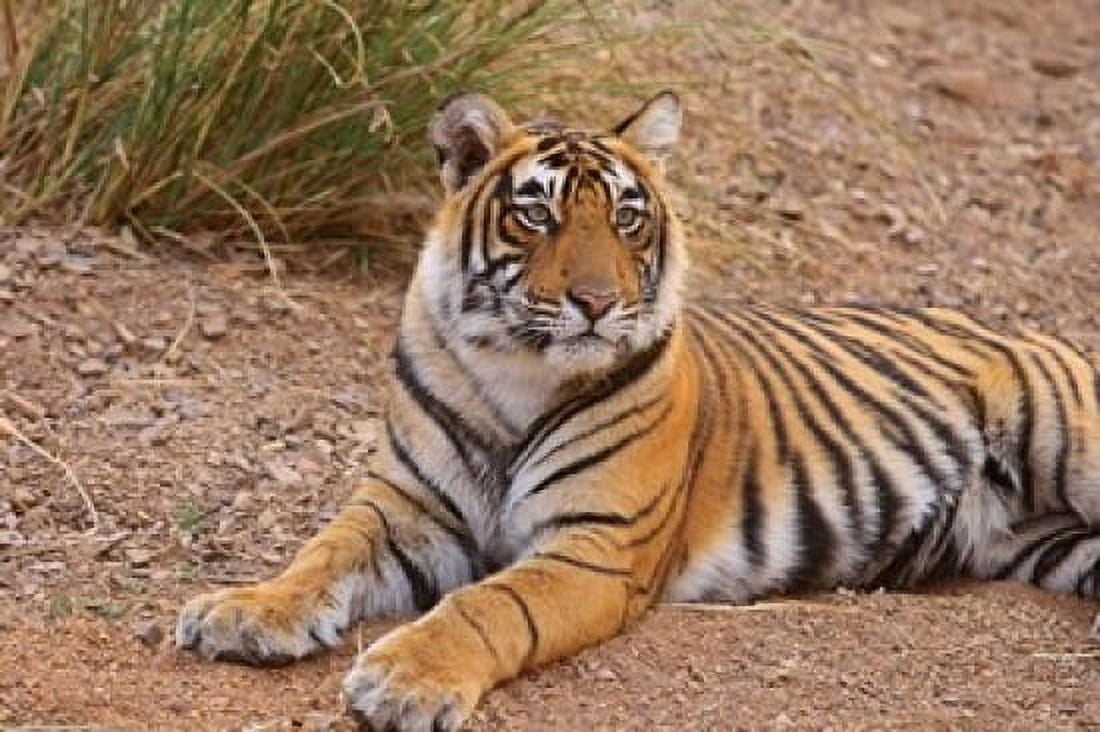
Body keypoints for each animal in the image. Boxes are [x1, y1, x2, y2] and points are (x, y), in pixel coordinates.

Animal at [176, 90, 1100, 731]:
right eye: (537, 213)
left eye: (626, 217)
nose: (596, 302)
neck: (515, 372)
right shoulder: (404, 507)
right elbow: (320, 554)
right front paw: (245, 610)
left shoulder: (595, 547)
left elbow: (488, 606)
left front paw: (405, 679)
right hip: (1058, 548)